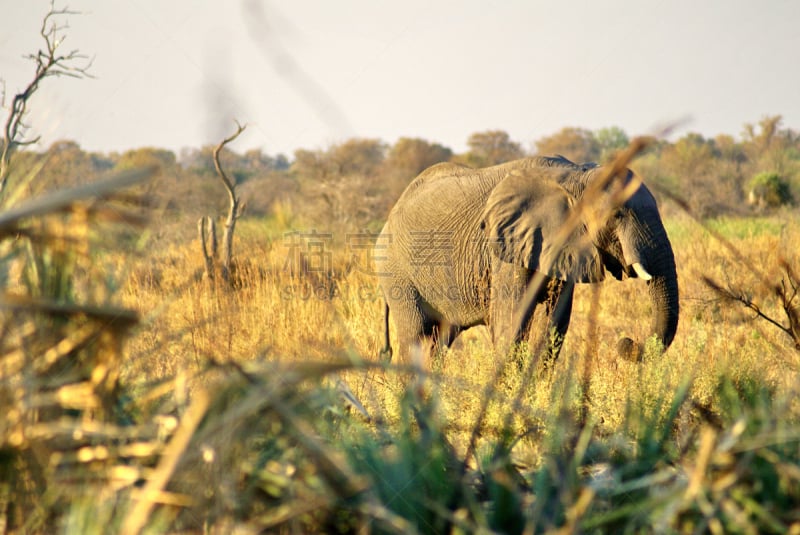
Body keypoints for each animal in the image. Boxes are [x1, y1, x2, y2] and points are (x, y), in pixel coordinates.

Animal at [374, 154, 676, 364]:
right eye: (616, 215)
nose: (627, 342)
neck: (575, 176)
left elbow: (552, 325)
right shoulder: (504, 247)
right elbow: (511, 322)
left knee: (440, 340)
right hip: (395, 271)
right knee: (416, 337)